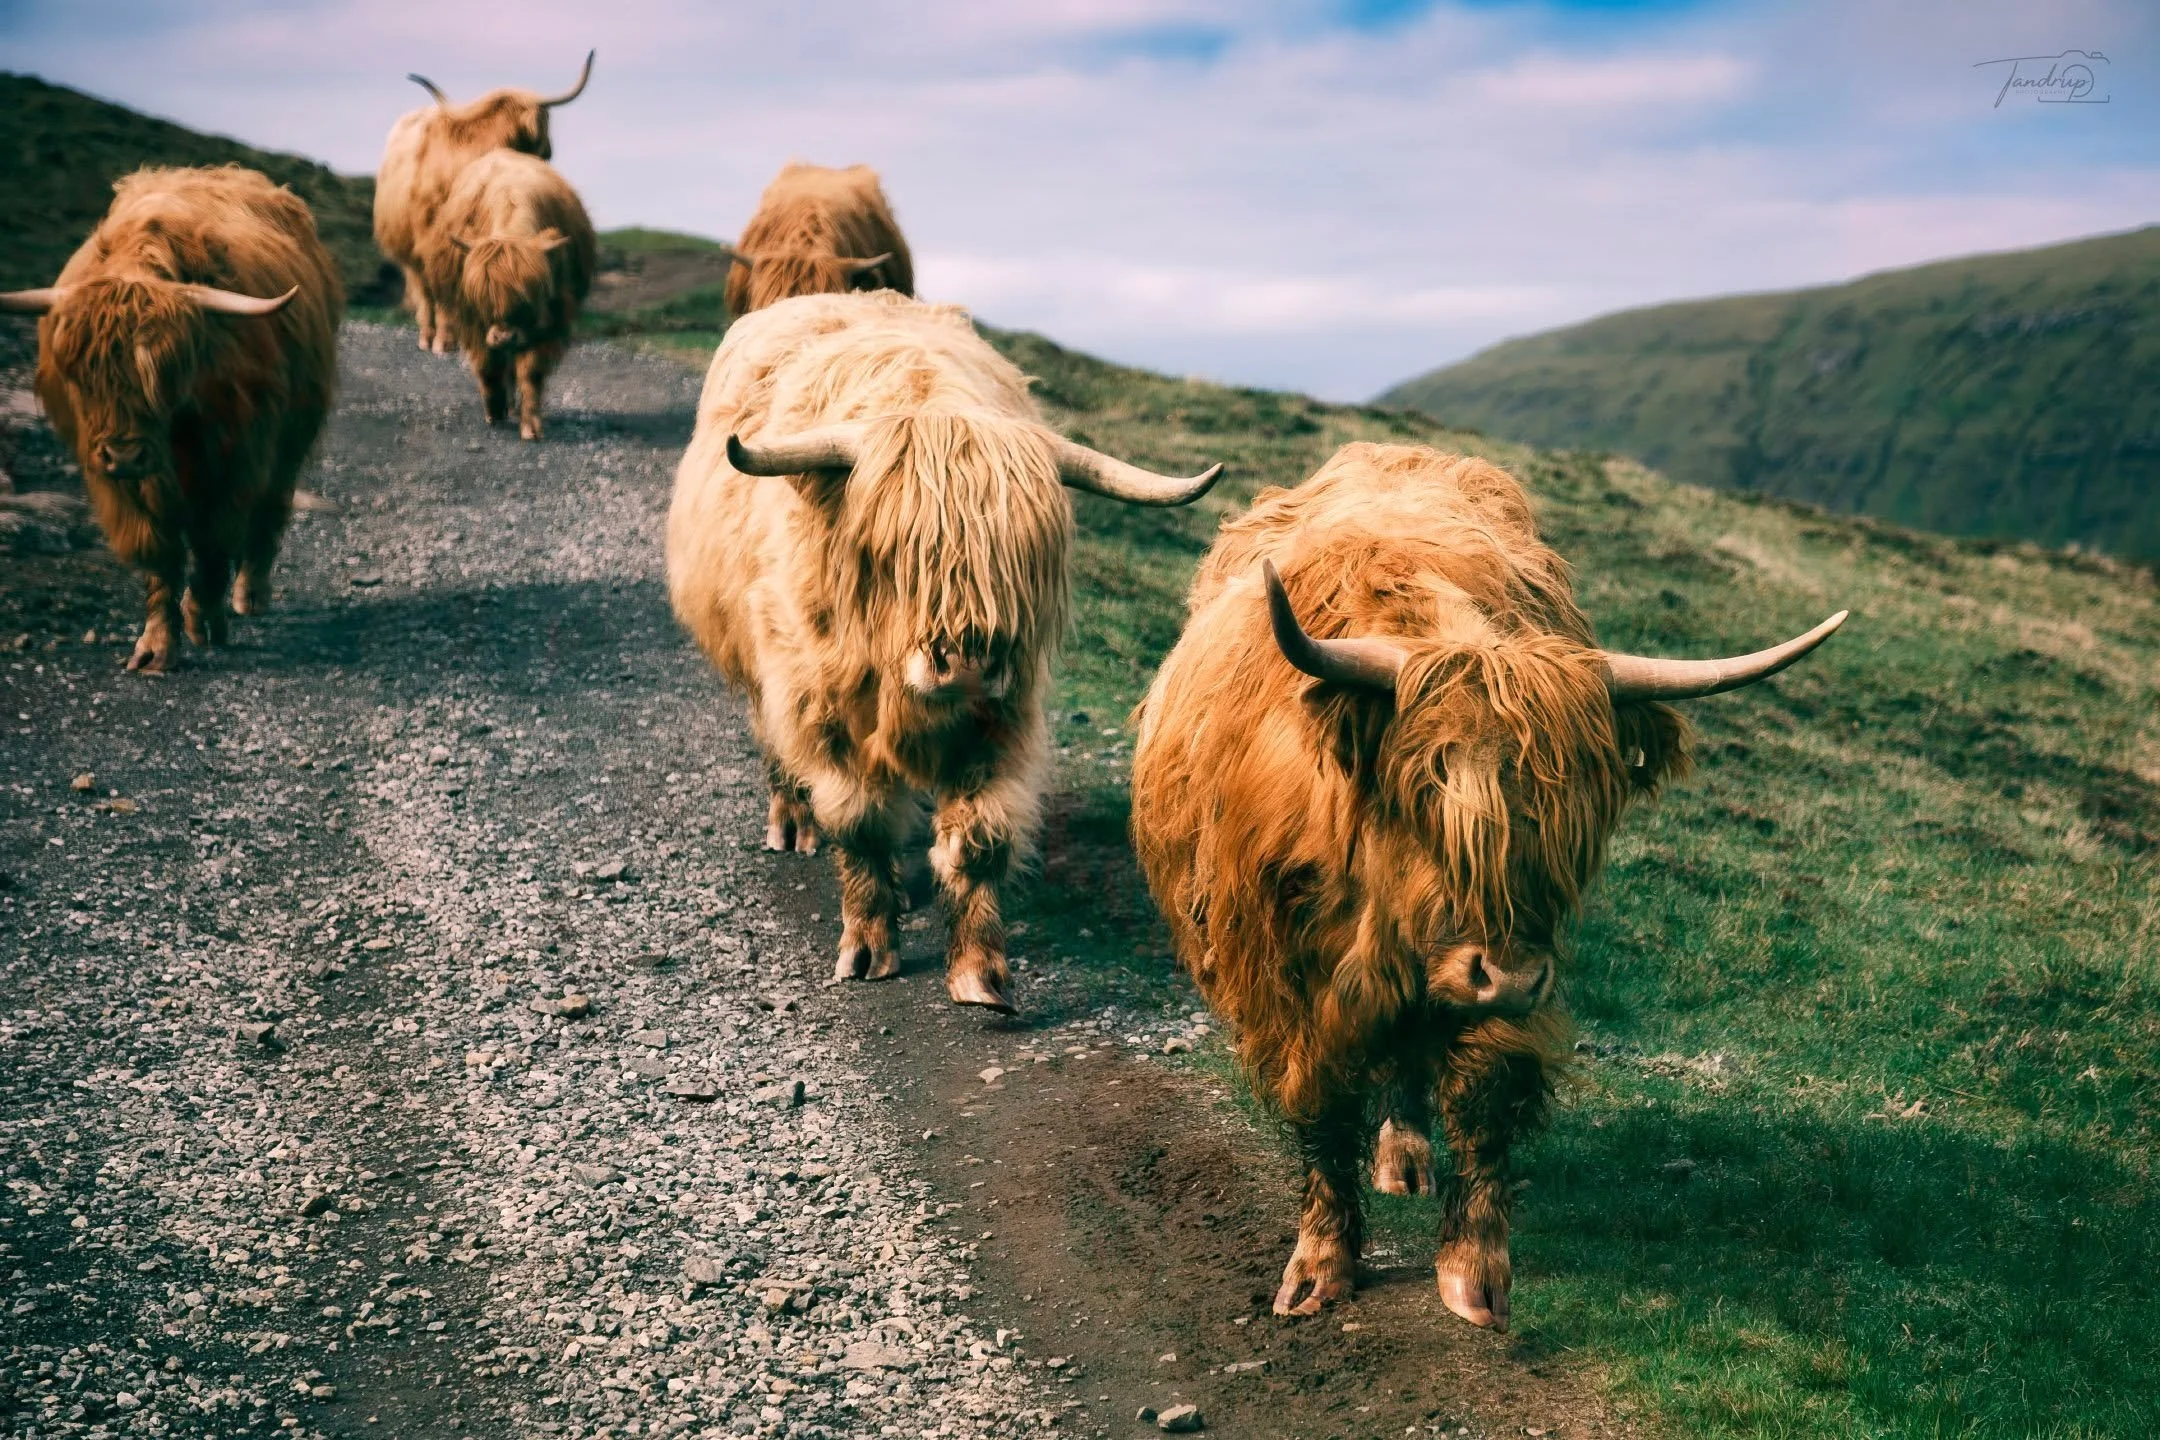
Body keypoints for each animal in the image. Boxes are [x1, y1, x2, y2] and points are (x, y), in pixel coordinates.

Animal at [2, 165, 343, 674]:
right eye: (81, 377)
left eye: (164, 372)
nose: (124, 454)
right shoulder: (118, 480)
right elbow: (157, 553)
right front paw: (157, 646)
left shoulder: (234, 460)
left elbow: (214, 543)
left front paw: (203, 619)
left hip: (292, 437)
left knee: (268, 512)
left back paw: (249, 596)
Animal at [374, 50, 593, 353]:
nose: (549, 151)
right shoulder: (437, 243)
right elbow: (445, 292)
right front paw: (444, 341)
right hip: (408, 247)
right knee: (423, 290)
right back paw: (428, 336)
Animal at [420, 150, 596, 440]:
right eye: (481, 298)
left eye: (527, 300)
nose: (504, 336)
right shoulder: (472, 320)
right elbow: (488, 366)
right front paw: (494, 411)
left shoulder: (547, 320)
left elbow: (531, 373)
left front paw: (531, 426)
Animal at [667, 290, 1221, 1013]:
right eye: (896, 552)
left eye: (1020, 558)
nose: (967, 664)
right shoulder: (824, 705)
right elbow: (860, 823)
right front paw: (869, 946)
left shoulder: (1002, 719)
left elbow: (978, 839)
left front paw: (981, 972)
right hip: (761, 664)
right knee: (776, 743)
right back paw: (793, 823)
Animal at [1129, 443, 1844, 1328]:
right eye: (1430, 801)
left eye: (1574, 825)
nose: (1502, 975)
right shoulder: (1284, 977)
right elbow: (1321, 1105)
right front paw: (1320, 1266)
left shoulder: (1508, 983)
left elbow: (1484, 1099)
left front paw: (1474, 1272)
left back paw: (1405, 1156)